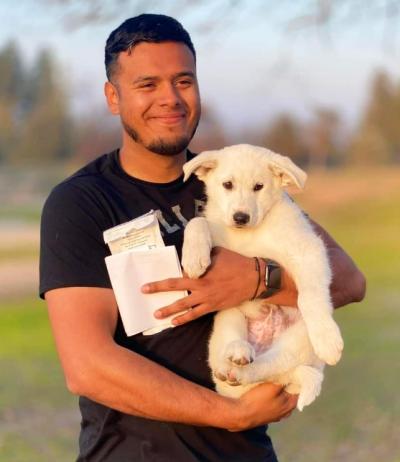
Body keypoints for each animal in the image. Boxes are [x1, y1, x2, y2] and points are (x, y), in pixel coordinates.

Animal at [181, 143, 344, 410]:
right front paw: (194, 258)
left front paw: (327, 339)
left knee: (268, 368)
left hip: (297, 341)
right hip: (228, 316)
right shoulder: (221, 235)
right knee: (233, 355)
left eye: (259, 187)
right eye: (227, 185)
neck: (251, 234)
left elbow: (310, 296)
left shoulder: (308, 250)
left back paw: (241, 369)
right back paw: (236, 353)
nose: (240, 217)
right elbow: (197, 221)